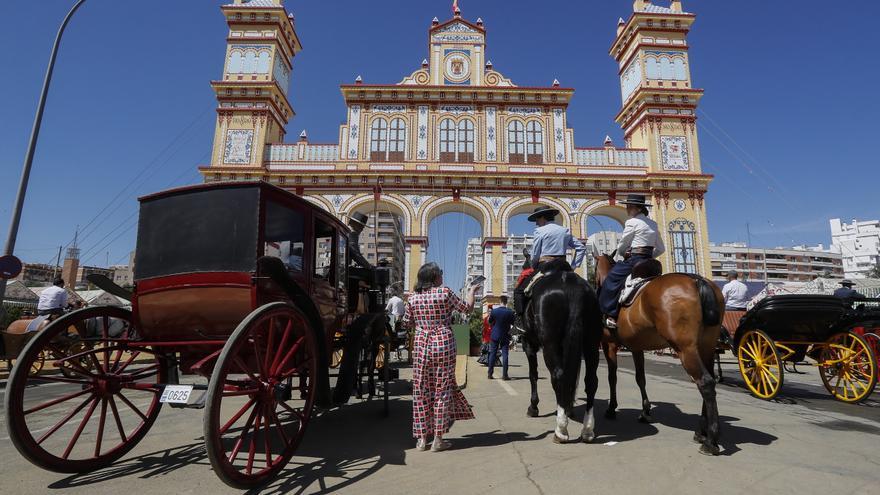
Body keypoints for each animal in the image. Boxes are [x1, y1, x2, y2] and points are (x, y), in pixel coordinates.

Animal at [596, 254, 724, 456]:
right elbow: (640, 378)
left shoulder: (609, 344)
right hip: (707, 347)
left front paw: (611, 408)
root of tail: (697, 280)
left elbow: (612, 377)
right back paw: (701, 431)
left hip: (685, 348)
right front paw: (645, 411)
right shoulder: (636, 347)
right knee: (710, 379)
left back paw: (710, 440)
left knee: (705, 383)